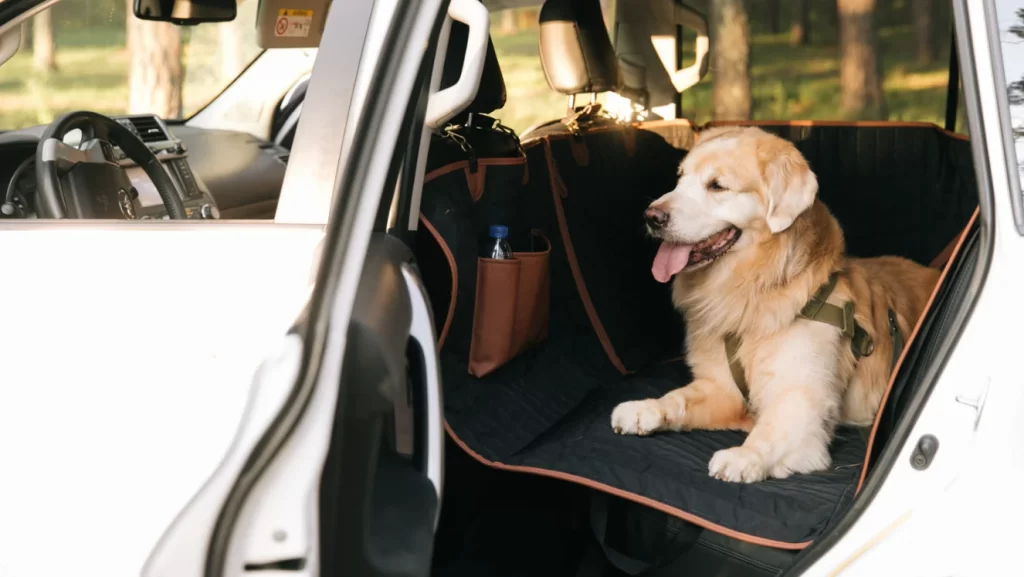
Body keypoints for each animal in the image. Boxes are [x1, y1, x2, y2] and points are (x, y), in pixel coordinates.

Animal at [610, 125, 937, 483]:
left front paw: (744, 456)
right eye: (679, 179)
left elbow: (771, 430)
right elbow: (678, 398)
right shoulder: (721, 388)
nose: (651, 216)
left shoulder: (801, 397)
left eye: (717, 186)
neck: (752, 290)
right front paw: (645, 407)